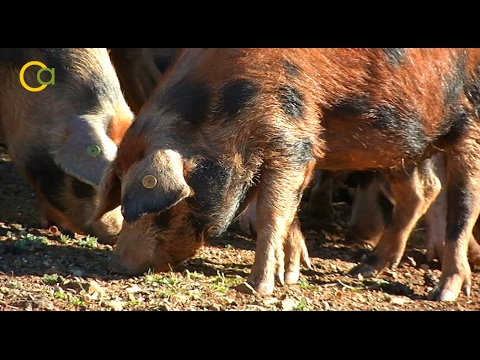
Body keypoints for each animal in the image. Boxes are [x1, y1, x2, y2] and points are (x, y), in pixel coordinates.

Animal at [93, 48, 480, 300]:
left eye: (159, 209)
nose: (116, 265)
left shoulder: (290, 141)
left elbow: (271, 214)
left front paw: (255, 288)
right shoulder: (299, 152)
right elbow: (288, 213)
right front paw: (290, 275)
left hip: (469, 125)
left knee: (463, 206)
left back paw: (443, 293)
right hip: (402, 145)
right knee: (422, 191)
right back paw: (363, 270)